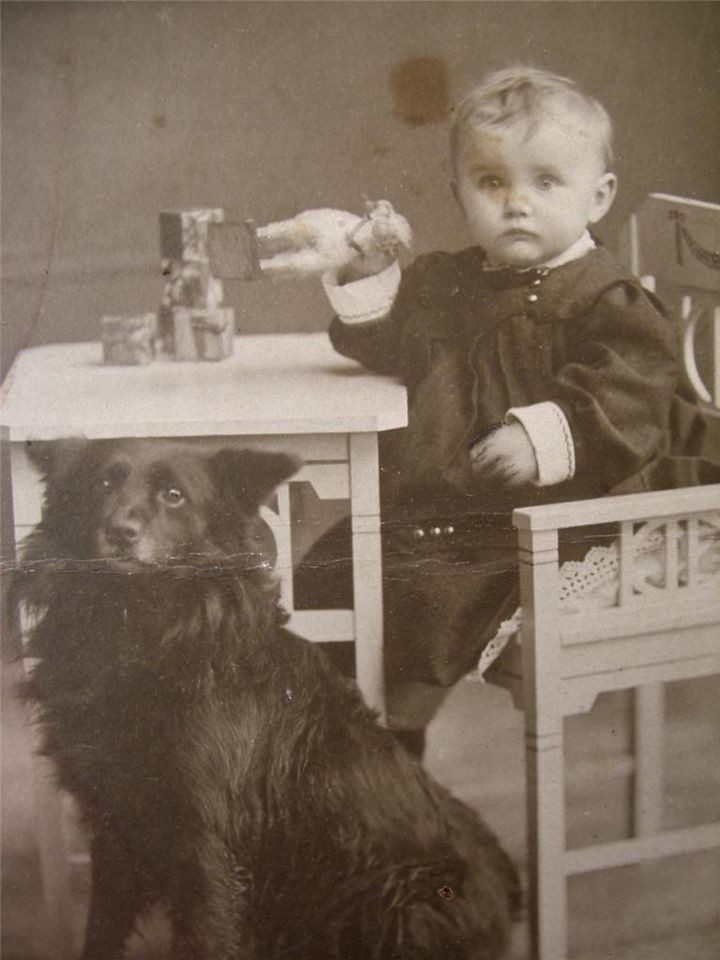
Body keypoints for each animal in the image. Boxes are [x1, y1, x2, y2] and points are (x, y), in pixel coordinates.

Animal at [15, 442, 516, 960]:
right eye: (103, 483)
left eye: (174, 495)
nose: (119, 532)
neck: (142, 629)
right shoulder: (114, 824)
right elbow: (102, 930)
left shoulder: (205, 842)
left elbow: (206, 936)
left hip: (400, 905)